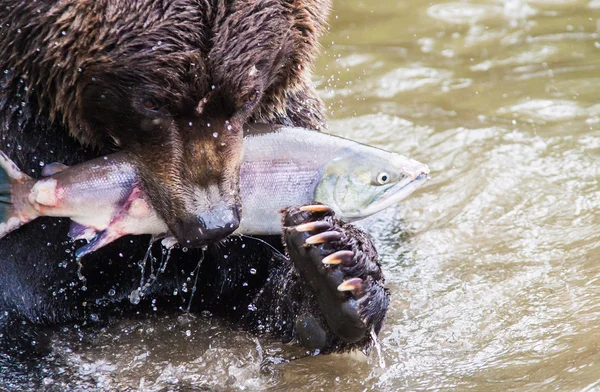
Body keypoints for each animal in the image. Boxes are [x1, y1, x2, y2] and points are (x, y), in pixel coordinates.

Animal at [0, 0, 390, 380]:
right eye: (152, 102)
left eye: (248, 96)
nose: (211, 223)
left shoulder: (282, 127)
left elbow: (263, 289)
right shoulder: (26, 132)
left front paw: (335, 265)